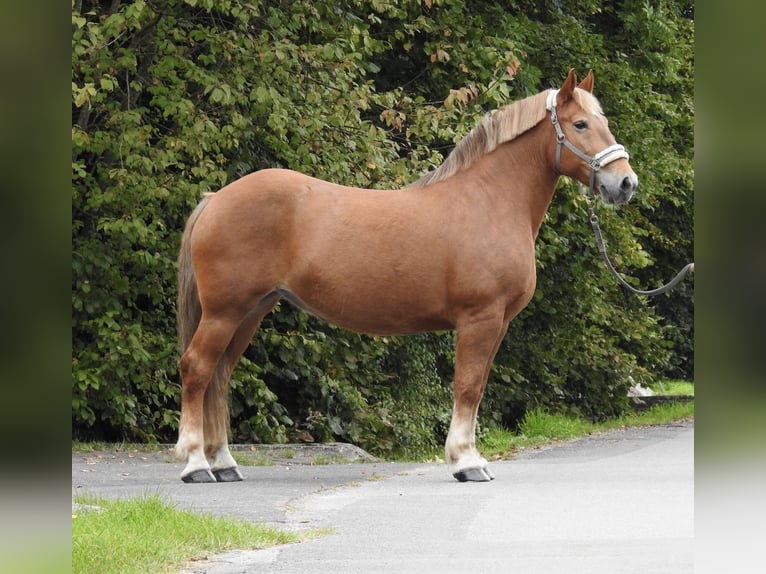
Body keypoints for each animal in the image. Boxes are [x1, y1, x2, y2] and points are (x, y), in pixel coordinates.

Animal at [177, 70, 640, 484]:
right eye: (580, 124)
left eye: (603, 121)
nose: (625, 183)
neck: (489, 200)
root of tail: (215, 198)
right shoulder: (480, 318)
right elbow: (467, 386)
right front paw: (465, 462)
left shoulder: (499, 323)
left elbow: (478, 387)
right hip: (225, 311)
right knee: (198, 368)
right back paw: (196, 465)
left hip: (252, 310)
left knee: (220, 374)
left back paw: (224, 463)